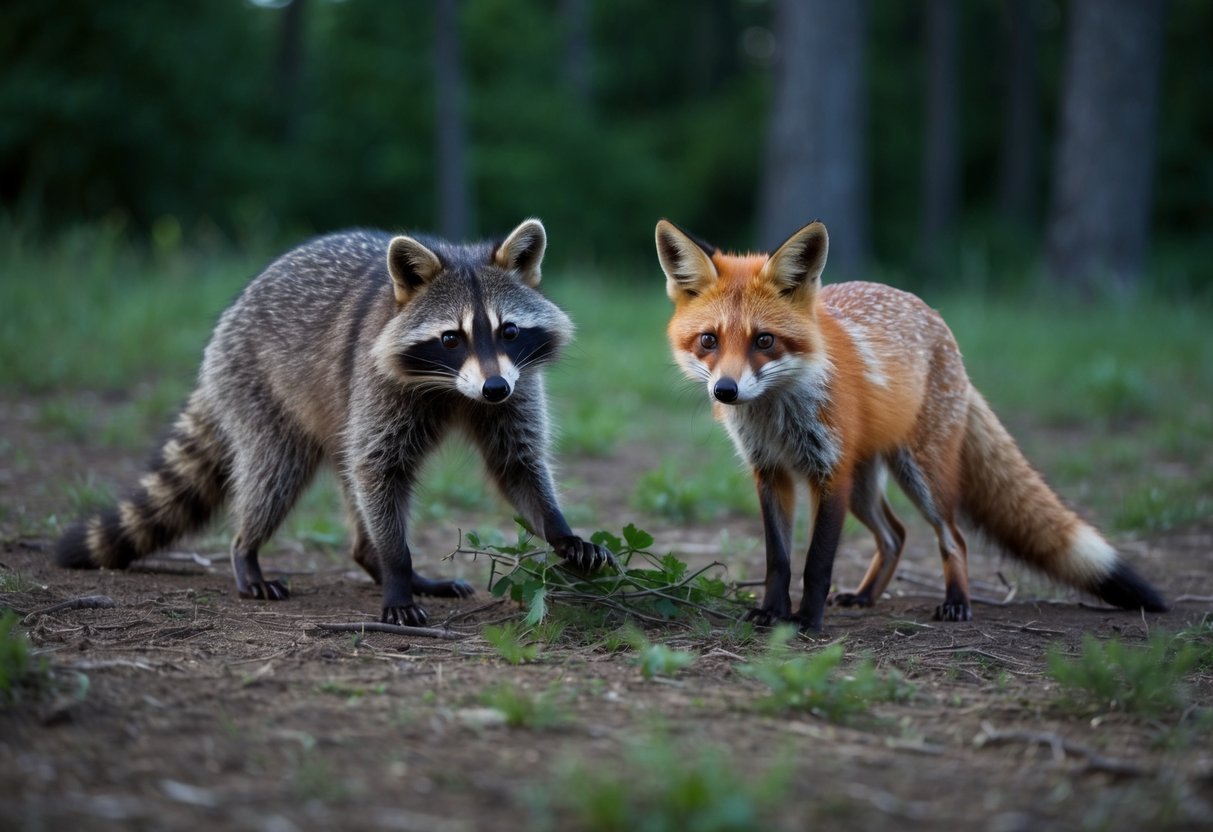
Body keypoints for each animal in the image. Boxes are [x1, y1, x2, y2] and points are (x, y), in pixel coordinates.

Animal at [55, 219, 611, 625]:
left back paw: (369, 555)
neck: (455, 389)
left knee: (348, 475)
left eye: (508, 331)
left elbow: (516, 463)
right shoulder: (378, 381)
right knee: (275, 473)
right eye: (451, 338)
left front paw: (560, 529)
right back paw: (248, 550)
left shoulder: (517, 383)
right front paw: (397, 569)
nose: (494, 389)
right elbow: (378, 470)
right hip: (256, 384)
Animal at [656, 218, 1167, 630]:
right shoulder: (771, 472)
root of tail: (937, 320)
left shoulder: (830, 472)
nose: (726, 391)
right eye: (709, 340)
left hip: (921, 477)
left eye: (764, 341)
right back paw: (865, 595)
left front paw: (807, 622)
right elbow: (778, 561)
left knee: (953, 539)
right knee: (895, 536)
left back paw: (957, 602)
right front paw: (771, 614)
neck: (777, 412)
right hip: (865, 487)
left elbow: (817, 563)